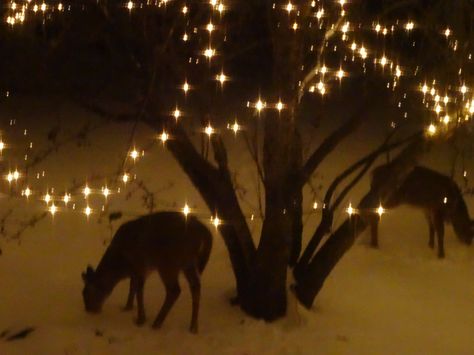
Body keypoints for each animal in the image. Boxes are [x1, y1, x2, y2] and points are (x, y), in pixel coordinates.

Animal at [82, 211, 213, 334]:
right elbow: (132, 288)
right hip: (188, 263)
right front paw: (127, 307)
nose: (89, 310)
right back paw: (193, 327)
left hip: (169, 263)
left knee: (175, 290)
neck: (121, 266)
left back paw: (156, 323)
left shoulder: (140, 266)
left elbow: (139, 291)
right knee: (195, 286)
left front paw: (140, 319)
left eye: (87, 294)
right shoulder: (135, 271)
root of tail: (205, 232)